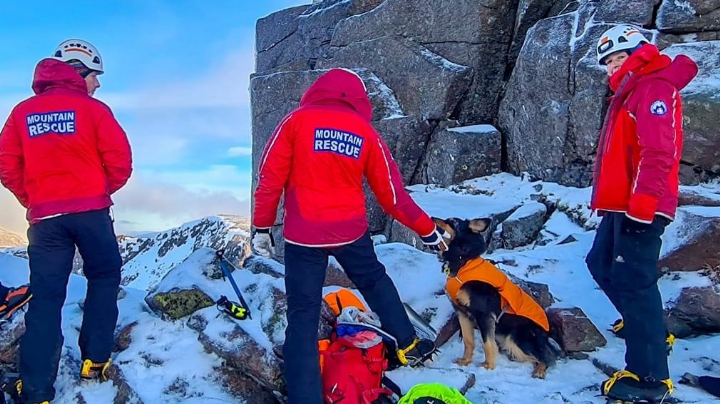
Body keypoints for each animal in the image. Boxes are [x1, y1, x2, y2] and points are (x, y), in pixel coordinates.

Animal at [434, 218, 556, 378]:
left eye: (452, 221)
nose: (432, 218)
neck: (464, 261)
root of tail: (546, 335)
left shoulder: (484, 314)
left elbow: (487, 344)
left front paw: (488, 367)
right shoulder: (462, 312)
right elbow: (468, 341)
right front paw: (465, 361)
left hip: (515, 339)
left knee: (547, 356)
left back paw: (540, 370)